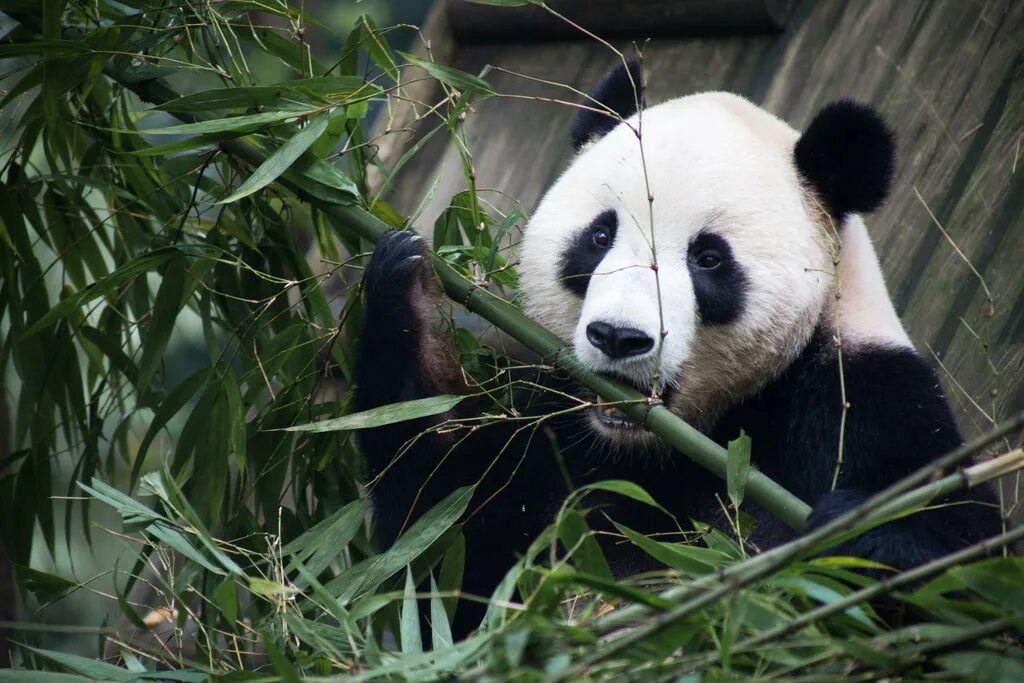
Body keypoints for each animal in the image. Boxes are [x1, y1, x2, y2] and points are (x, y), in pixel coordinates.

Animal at [354, 62, 999, 634]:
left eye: (708, 258)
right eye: (600, 235)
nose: (619, 337)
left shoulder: (862, 399)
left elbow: (960, 563)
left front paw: (853, 532)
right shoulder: (551, 423)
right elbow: (441, 546)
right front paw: (410, 289)